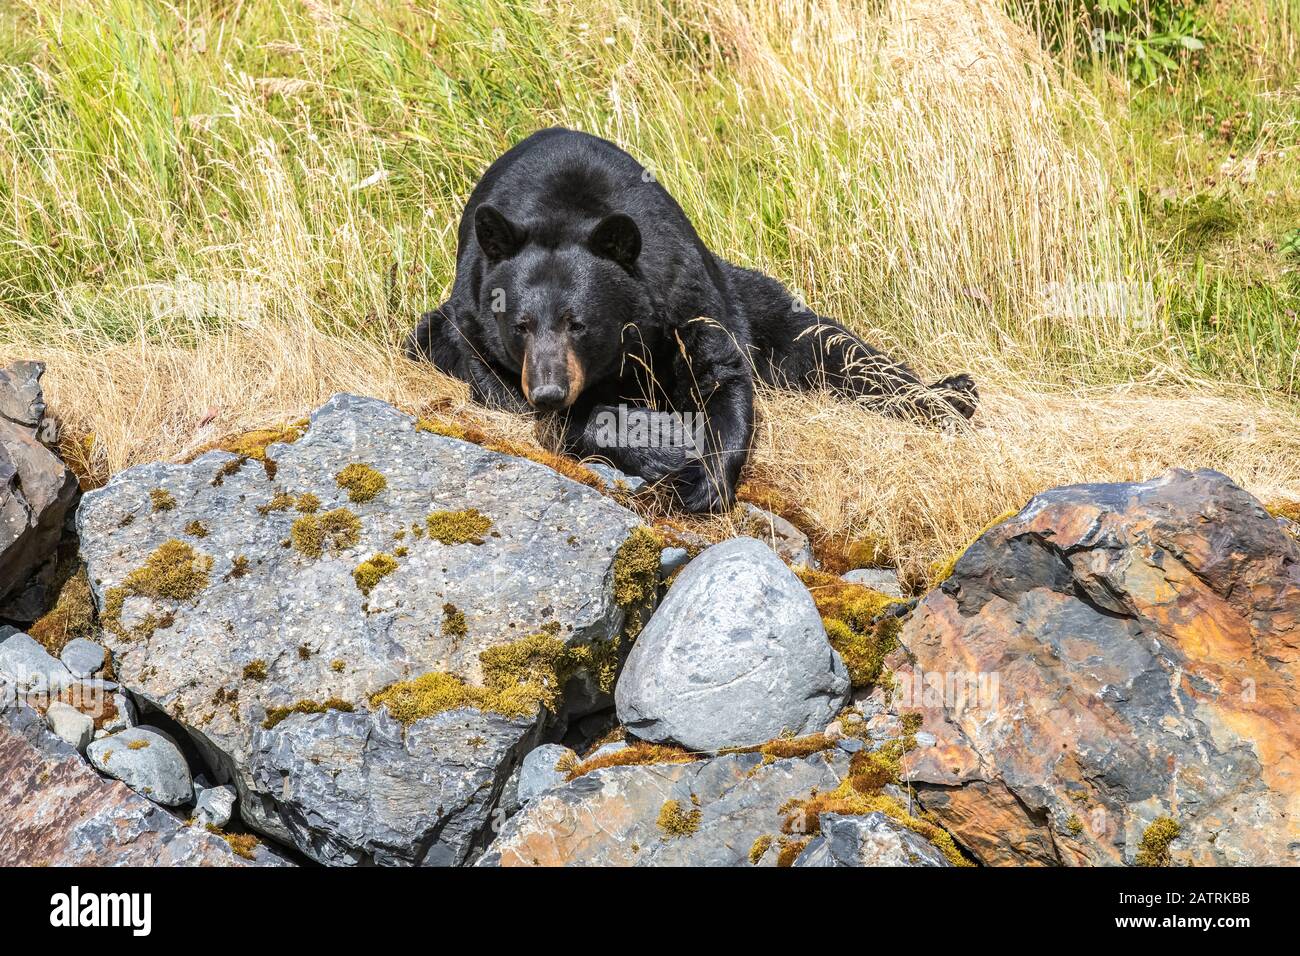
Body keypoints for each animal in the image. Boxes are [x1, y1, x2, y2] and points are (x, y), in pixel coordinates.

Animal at [405, 132, 977, 515]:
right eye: (520, 325)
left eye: (578, 323)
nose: (549, 390)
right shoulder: (473, 324)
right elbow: (527, 404)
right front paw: (667, 444)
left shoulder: (682, 290)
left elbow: (720, 372)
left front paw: (706, 478)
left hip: (751, 296)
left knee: (827, 347)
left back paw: (952, 394)